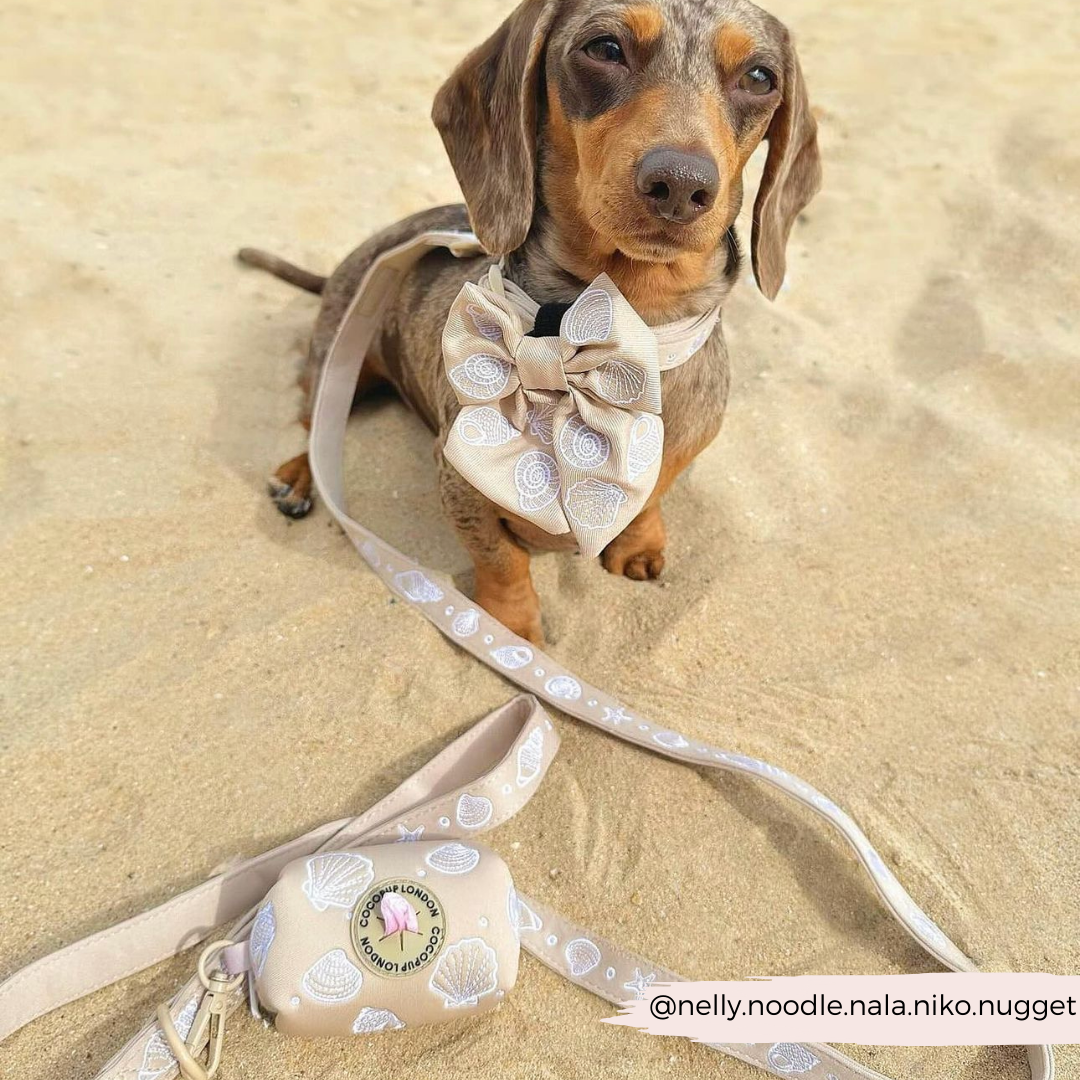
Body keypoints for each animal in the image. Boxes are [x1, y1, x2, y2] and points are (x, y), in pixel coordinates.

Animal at [243, 0, 816, 639]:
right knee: (314, 419)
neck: (623, 328)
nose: (680, 184)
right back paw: (297, 475)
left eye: (760, 78)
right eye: (605, 48)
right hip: (337, 358)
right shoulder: (460, 480)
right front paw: (511, 627)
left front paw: (638, 542)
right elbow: (501, 557)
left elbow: (653, 496)